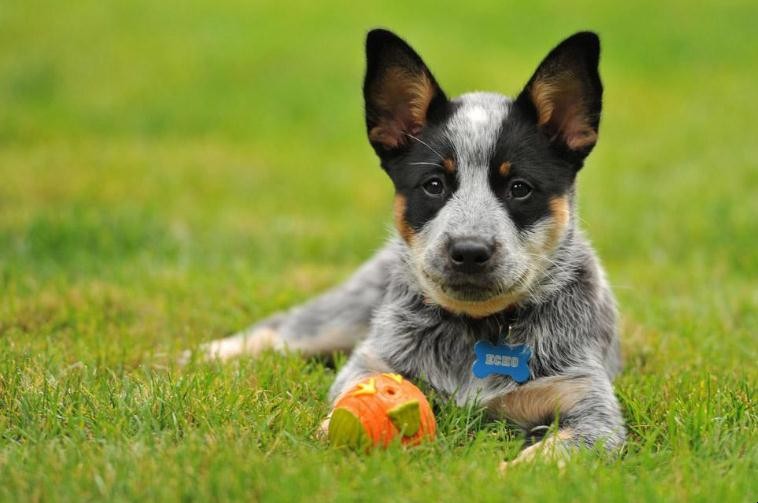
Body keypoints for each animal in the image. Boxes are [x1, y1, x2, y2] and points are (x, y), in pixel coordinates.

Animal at [199, 29, 628, 466]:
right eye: (434, 184)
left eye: (519, 188)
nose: (469, 250)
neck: (475, 331)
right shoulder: (372, 361)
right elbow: (344, 404)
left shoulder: (587, 404)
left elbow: (554, 454)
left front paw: (507, 471)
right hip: (345, 315)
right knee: (283, 328)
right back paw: (210, 353)